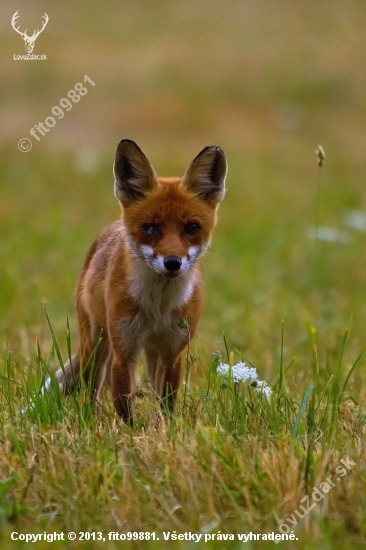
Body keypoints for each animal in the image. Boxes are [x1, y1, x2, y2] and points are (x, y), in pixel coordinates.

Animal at [51, 140, 227, 424]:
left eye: (191, 227)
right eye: (150, 228)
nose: (172, 262)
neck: (158, 307)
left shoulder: (172, 352)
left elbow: (167, 403)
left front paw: (167, 429)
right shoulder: (124, 351)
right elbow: (124, 406)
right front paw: (129, 433)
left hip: (151, 353)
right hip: (96, 345)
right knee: (91, 390)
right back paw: (91, 419)